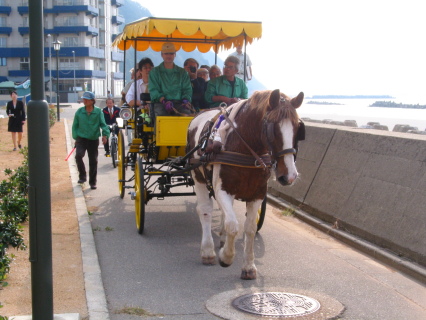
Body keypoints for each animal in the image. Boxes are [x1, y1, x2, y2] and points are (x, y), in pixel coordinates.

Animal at [186, 89, 302, 278]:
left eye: (298, 128)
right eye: (273, 129)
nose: (289, 176)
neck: (244, 149)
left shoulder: (257, 194)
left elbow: (250, 229)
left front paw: (248, 265)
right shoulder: (222, 189)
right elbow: (233, 225)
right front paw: (226, 257)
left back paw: (222, 238)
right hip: (198, 176)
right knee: (205, 211)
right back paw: (208, 251)